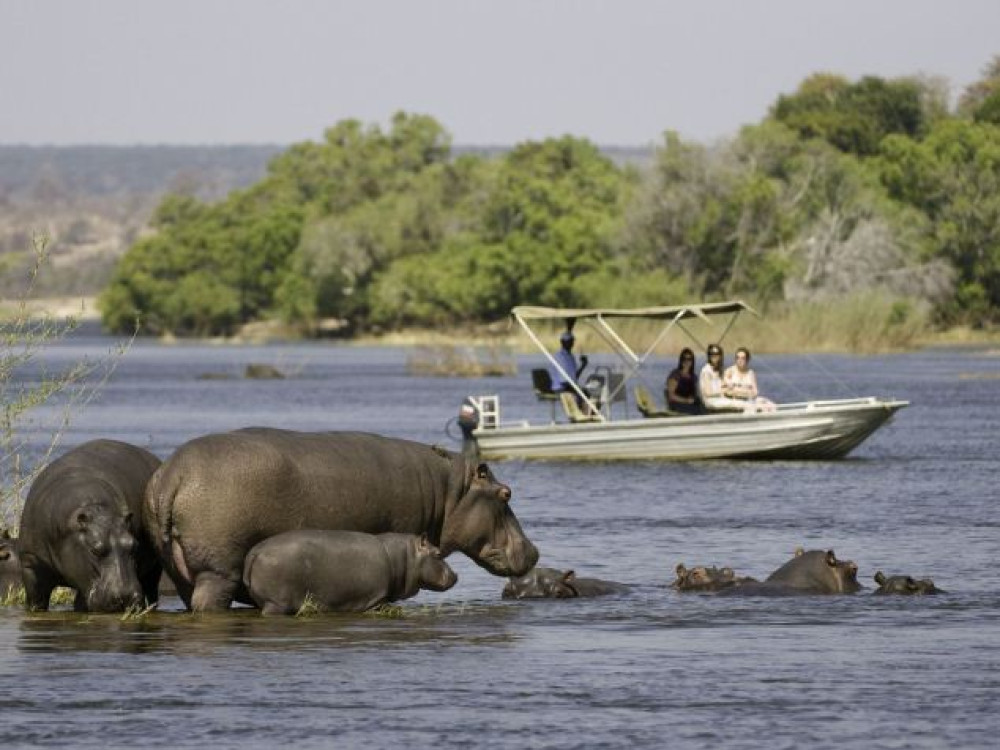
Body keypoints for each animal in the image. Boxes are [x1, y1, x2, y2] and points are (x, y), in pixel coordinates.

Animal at [16, 440, 161, 612]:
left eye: (134, 546)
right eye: (94, 550)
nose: (125, 597)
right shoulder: (30, 563)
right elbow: (36, 600)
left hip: (154, 569)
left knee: (152, 591)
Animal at [244, 528, 458, 616]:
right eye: (438, 553)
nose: (456, 575)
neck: (404, 557)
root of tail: (255, 551)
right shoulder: (376, 598)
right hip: (276, 604)